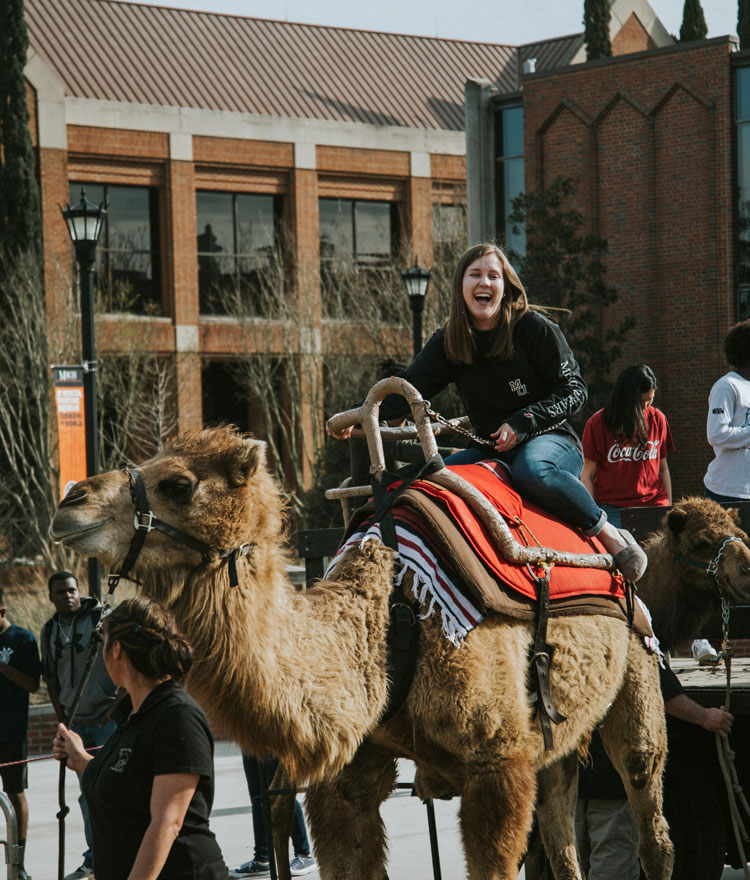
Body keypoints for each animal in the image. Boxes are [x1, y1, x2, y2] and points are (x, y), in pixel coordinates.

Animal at [48, 424, 750, 872]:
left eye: (178, 483)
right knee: (563, 838)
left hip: (638, 676)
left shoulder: (498, 765)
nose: (69, 501)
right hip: (557, 743)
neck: (387, 619)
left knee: (652, 817)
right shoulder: (349, 775)